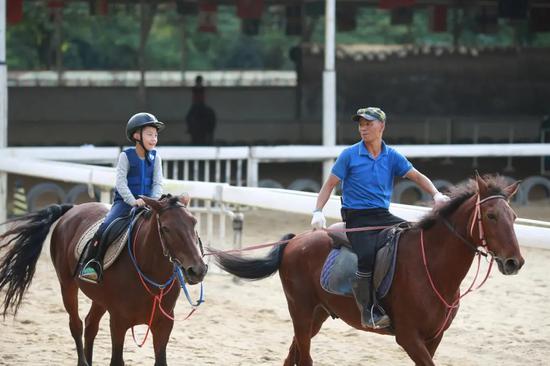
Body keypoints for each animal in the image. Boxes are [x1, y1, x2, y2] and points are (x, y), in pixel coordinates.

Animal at [0, 194, 207, 366]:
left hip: (99, 300)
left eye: (194, 223)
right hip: (67, 285)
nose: (197, 269)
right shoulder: (118, 322)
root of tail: (74, 209)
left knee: (90, 324)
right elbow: (116, 361)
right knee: (76, 325)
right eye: (166, 228)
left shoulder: (164, 324)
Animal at [213, 175, 528, 366]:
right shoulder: (409, 338)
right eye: (491, 215)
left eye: (513, 216)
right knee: (303, 357)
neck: (431, 266)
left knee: (293, 355)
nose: (515, 262)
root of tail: (295, 241)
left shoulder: (433, 338)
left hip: (317, 315)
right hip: (301, 311)